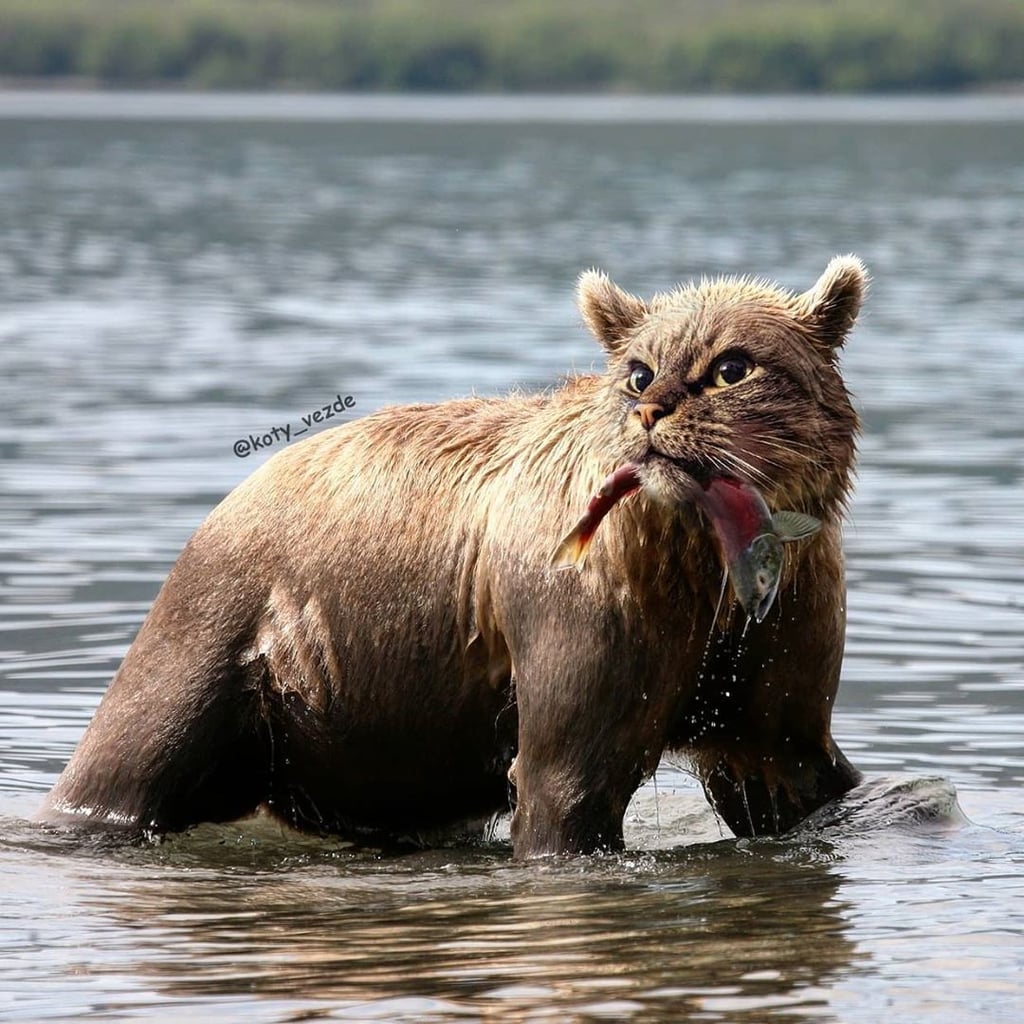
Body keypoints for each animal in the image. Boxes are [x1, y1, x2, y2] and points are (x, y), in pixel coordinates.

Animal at [44, 253, 868, 856]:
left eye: (732, 365)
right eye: (637, 367)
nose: (651, 409)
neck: (700, 553)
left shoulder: (778, 621)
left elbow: (786, 763)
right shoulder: (590, 610)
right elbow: (568, 780)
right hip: (223, 630)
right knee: (130, 757)